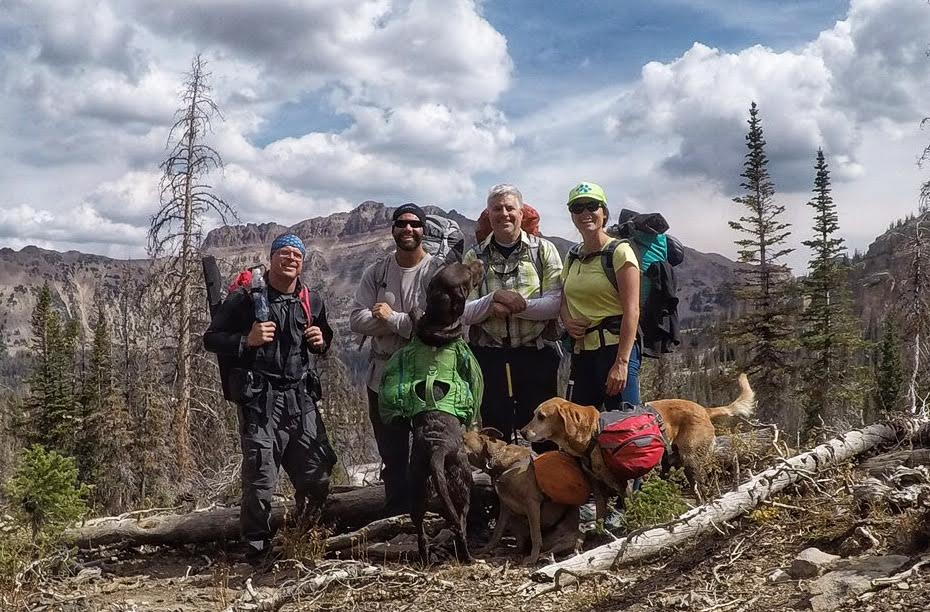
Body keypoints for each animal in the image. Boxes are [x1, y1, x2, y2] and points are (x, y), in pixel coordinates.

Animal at [464, 430, 580, 564]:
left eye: (463, 439)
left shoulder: (532, 504)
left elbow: (535, 535)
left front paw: (532, 558)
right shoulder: (505, 507)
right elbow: (496, 533)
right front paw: (484, 550)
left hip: (566, 538)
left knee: (550, 548)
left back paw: (543, 556)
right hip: (515, 521)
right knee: (519, 547)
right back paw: (504, 551)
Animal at [520, 376, 752, 524]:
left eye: (541, 416)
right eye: (534, 414)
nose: (522, 432)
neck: (591, 433)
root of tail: (704, 409)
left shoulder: (622, 483)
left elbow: (629, 508)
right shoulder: (597, 485)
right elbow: (600, 516)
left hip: (691, 461)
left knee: (701, 489)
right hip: (670, 462)